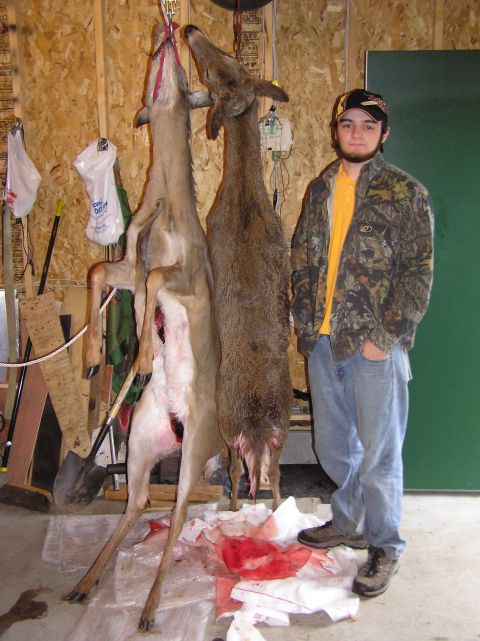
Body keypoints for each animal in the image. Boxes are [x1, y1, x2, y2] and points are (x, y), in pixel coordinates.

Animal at [66, 23, 220, 633]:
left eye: (180, 70)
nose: (171, 29)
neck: (164, 203)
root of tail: (176, 426)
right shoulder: (127, 261)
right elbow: (100, 270)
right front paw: (91, 356)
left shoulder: (189, 280)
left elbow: (155, 277)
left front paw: (147, 357)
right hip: (138, 444)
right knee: (136, 503)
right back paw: (85, 583)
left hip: (194, 450)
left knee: (175, 514)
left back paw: (151, 610)